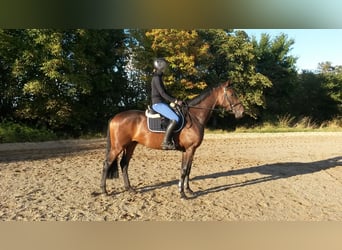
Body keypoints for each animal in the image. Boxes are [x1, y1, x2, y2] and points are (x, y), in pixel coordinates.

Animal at [100, 79, 244, 198]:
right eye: (232, 94)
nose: (241, 112)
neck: (195, 116)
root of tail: (114, 117)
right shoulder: (190, 149)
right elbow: (185, 170)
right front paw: (182, 194)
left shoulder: (189, 150)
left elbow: (187, 170)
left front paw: (188, 190)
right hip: (118, 147)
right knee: (107, 164)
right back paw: (104, 191)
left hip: (131, 145)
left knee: (124, 164)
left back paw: (129, 188)